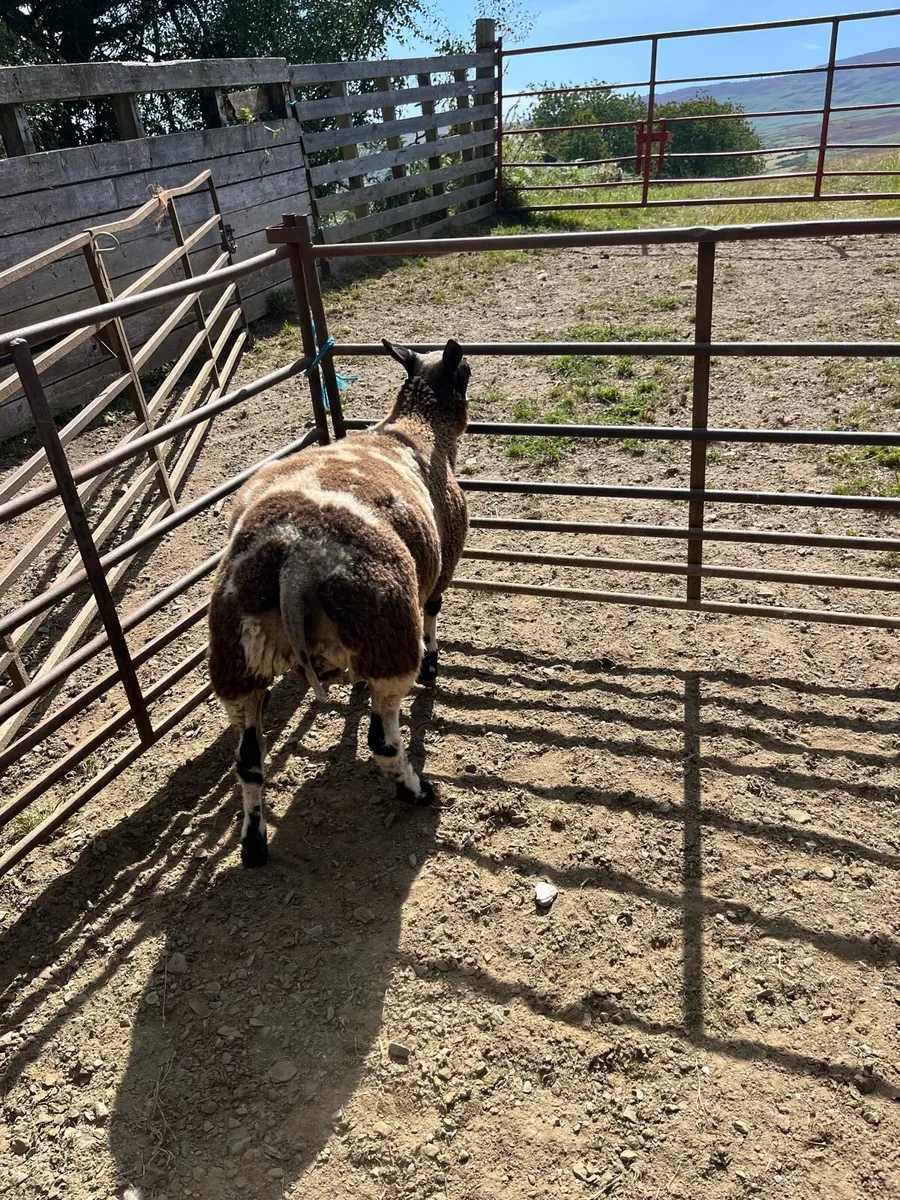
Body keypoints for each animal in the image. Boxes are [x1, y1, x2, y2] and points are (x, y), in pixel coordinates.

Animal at [207, 338, 470, 866]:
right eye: (467, 372)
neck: (415, 428)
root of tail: (293, 561)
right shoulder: (442, 563)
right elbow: (434, 613)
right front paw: (434, 664)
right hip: (388, 634)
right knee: (382, 742)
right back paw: (416, 792)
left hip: (237, 664)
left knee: (247, 763)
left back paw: (253, 843)